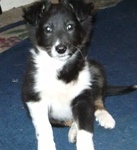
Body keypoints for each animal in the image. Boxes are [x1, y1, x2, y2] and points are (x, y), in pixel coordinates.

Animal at [22, 0, 137, 150]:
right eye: (47, 29)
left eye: (70, 27)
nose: (61, 49)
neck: (61, 69)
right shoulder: (34, 99)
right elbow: (44, 128)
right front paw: (47, 146)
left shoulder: (82, 97)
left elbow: (85, 129)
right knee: (69, 120)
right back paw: (73, 131)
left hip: (96, 69)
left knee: (98, 100)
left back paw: (104, 117)